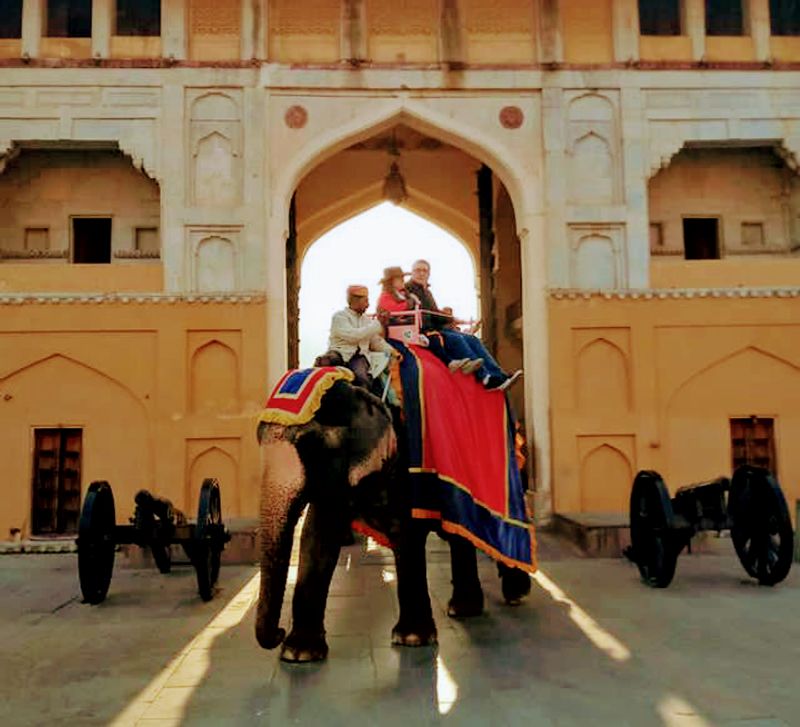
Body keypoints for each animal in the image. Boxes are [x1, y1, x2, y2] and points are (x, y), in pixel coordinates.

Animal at [256, 378, 532, 664]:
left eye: (310, 447)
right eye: (257, 438)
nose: (278, 631)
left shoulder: (405, 467)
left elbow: (406, 533)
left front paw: (412, 639)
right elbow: (316, 537)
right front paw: (298, 653)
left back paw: (514, 594)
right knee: (460, 538)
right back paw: (464, 608)